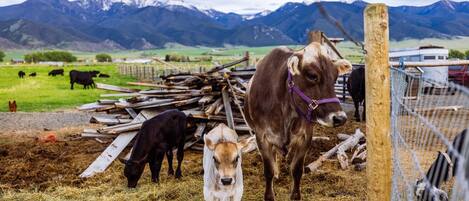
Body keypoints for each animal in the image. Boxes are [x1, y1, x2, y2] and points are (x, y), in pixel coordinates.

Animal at [245, 43, 352, 200]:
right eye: (312, 76)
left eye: (335, 78)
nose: (340, 118)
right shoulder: (261, 136)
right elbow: (268, 170)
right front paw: (270, 194)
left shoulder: (305, 136)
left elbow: (296, 170)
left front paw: (295, 195)